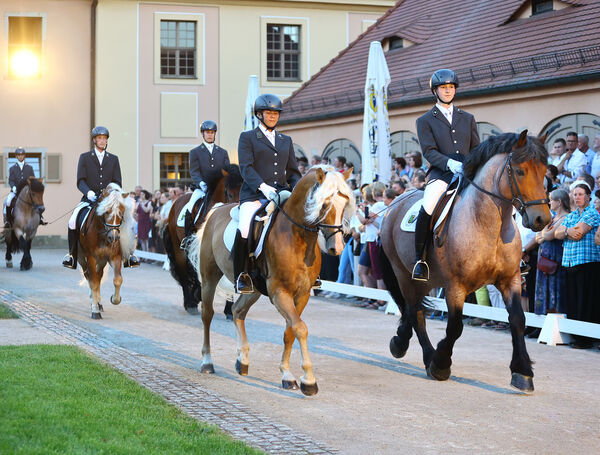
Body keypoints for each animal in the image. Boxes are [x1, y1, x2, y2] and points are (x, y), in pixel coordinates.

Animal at [77, 183, 136, 318]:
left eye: (121, 213)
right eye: (106, 211)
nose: (114, 237)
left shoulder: (115, 256)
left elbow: (118, 280)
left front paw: (115, 299)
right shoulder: (90, 257)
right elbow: (93, 282)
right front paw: (95, 311)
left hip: (101, 260)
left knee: (98, 276)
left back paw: (99, 303)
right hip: (82, 259)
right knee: (89, 277)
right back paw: (94, 303)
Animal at [188, 167, 356, 396]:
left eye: (345, 204)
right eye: (323, 204)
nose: (336, 248)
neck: (297, 237)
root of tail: (216, 210)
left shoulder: (302, 295)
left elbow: (290, 331)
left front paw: (287, 375)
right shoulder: (279, 293)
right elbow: (300, 328)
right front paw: (308, 381)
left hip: (254, 289)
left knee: (238, 311)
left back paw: (243, 360)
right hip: (209, 277)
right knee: (207, 314)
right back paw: (207, 362)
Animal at [382, 130, 552, 394]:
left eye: (544, 171)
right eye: (520, 170)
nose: (541, 219)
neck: (488, 225)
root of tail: (394, 204)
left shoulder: (510, 280)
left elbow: (517, 320)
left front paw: (522, 372)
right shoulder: (456, 286)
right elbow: (455, 326)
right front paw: (440, 364)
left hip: (425, 280)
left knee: (413, 310)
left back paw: (406, 344)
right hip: (404, 274)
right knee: (415, 311)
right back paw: (422, 354)